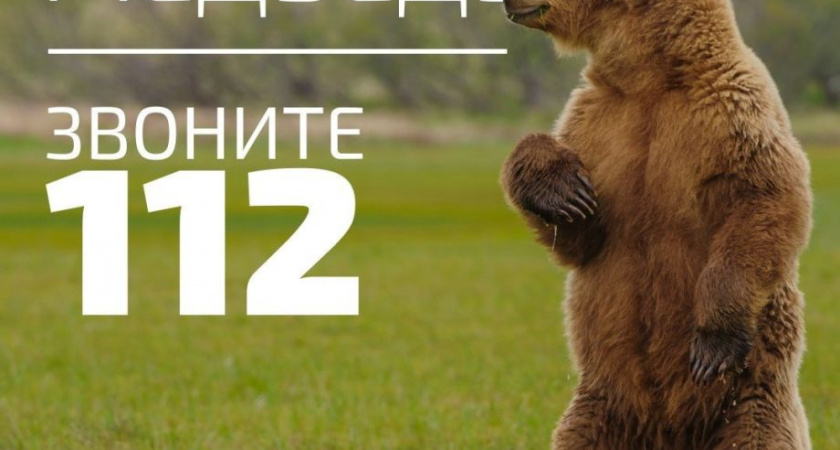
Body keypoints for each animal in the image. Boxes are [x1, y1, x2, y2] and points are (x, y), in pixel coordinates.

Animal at [499, 0, 813, 448]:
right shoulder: (598, 123)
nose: (505, 2)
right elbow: (582, 238)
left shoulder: (732, 112)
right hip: (603, 406)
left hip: (750, 400)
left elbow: (764, 201)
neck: (653, 77)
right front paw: (562, 191)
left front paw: (713, 345)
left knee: (759, 431)